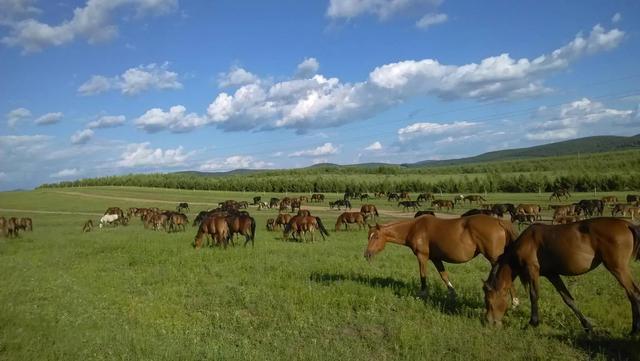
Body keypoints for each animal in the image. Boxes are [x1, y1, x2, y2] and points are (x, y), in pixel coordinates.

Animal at [364, 214, 520, 300]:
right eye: (368, 236)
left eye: (376, 237)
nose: (367, 254)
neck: (414, 228)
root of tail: (499, 222)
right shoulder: (436, 259)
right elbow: (444, 276)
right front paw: (453, 294)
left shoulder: (422, 257)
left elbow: (423, 275)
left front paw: (423, 293)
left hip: (494, 259)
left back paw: (514, 301)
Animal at [484, 217, 640, 332]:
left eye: (489, 302)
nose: (489, 322)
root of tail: (626, 224)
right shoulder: (552, 274)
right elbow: (568, 299)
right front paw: (587, 326)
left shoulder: (532, 269)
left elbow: (534, 295)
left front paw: (533, 323)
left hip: (618, 268)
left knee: (633, 293)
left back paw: (634, 330)